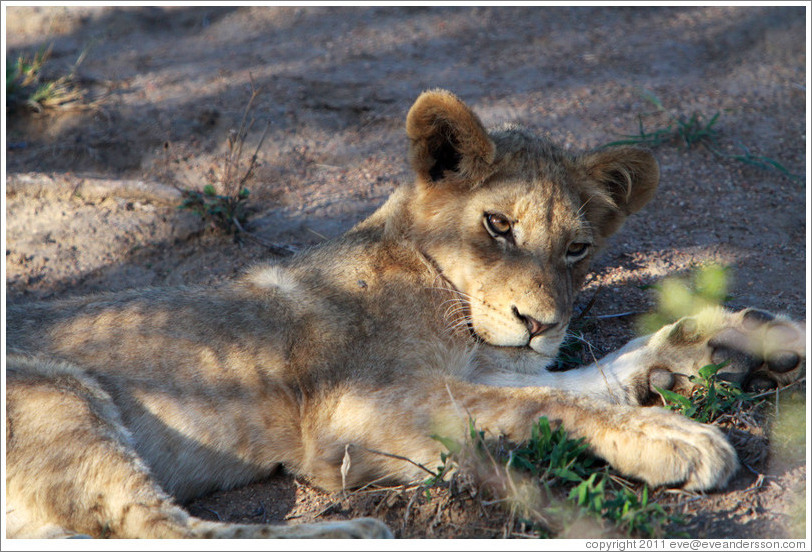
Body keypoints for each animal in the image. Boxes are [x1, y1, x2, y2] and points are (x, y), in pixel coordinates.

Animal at [5, 89, 805, 539]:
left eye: (577, 248)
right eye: (497, 225)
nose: (540, 323)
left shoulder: (480, 366)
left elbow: (586, 377)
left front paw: (734, 343)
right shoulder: (349, 415)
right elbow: (546, 401)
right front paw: (674, 435)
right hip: (55, 393)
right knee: (156, 527)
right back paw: (352, 533)